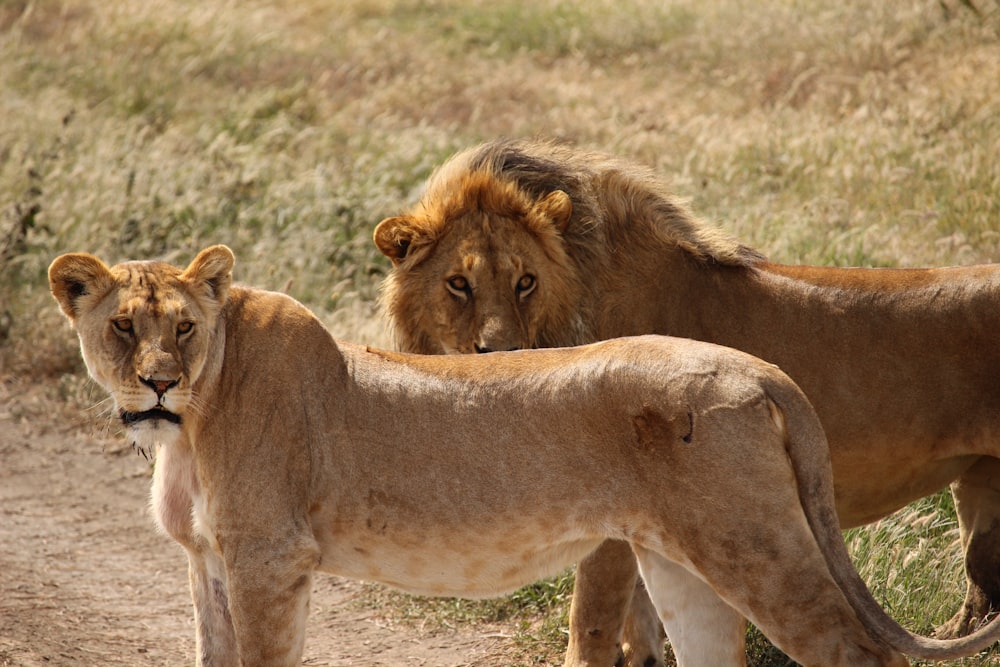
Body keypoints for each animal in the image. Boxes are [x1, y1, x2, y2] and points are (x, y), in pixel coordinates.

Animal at [50, 245, 1000, 667]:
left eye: (183, 327)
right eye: (122, 325)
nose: (159, 382)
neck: (190, 427)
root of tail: (760, 369)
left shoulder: (269, 560)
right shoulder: (209, 560)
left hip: (756, 545)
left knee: (861, 653)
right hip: (683, 559)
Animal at [374, 140, 1000, 667]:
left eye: (525, 281)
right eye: (458, 284)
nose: (498, 353)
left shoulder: (608, 507)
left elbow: (592, 619)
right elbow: (642, 619)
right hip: (978, 486)